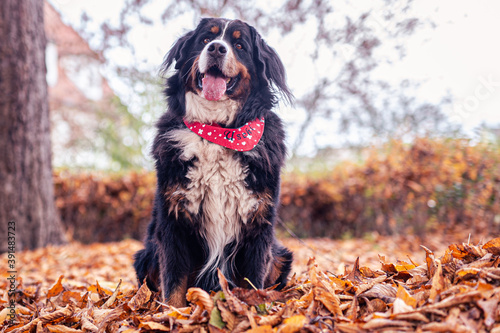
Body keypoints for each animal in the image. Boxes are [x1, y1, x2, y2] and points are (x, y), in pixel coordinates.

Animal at [135, 18, 294, 306]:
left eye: (239, 45)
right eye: (205, 40)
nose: (217, 48)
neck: (217, 133)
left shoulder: (258, 222)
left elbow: (253, 281)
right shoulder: (173, 220)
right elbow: (173, 282)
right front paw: (172, 313)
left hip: (281, 254)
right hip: (145, 255)